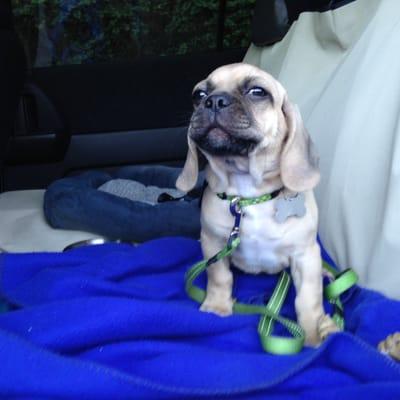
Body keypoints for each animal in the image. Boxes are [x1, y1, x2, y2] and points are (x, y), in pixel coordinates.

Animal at [177, 64, 338, 346]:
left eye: (257, 92)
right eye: (198, 95)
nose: (213, 101)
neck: (248, 196)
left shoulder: (304, 256)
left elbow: (309, 300)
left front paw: (311, 335)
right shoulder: (214, 244)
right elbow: (219, 277)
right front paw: (217, 307)